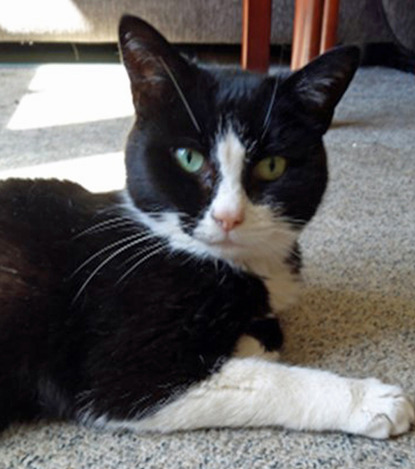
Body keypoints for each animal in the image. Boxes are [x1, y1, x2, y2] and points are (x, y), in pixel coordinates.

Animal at [0, 14, 414, 436]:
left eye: (272, 166)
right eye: (188, 158)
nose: (228, 216)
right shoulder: (128, 365)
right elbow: (263, 379)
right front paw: (371, 400)